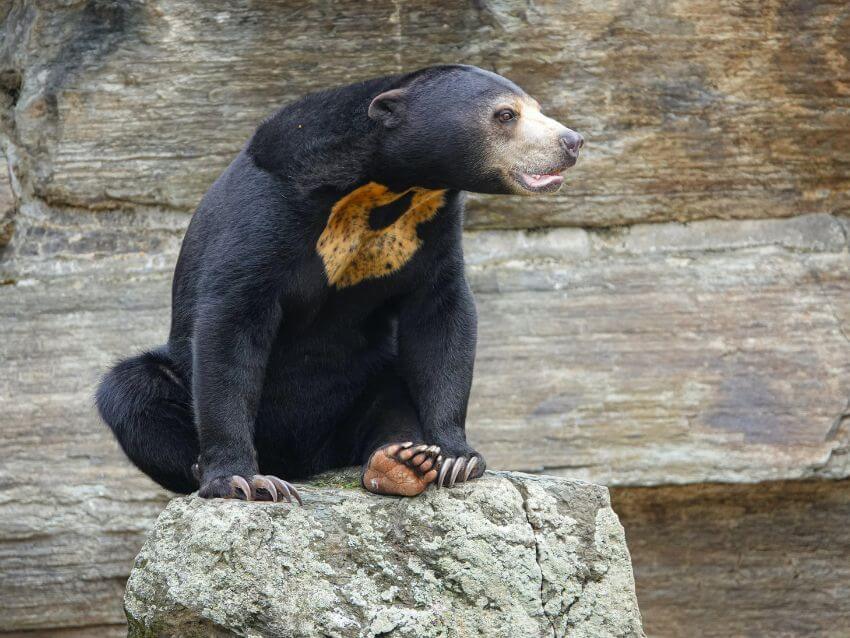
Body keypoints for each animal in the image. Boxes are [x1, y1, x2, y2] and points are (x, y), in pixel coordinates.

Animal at [94, 66, 584, 504]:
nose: (573, 142)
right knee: (132, 390)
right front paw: (242, 481)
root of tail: (307, 460)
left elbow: (441, 316)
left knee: (390, 392)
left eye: (537, 108)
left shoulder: (431, 226)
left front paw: (455, 458)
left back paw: (400, 463)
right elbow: (230, 322)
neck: (390, 186)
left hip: (363, 381)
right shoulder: (265, 211)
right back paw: (214, 467)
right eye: (506, 115)